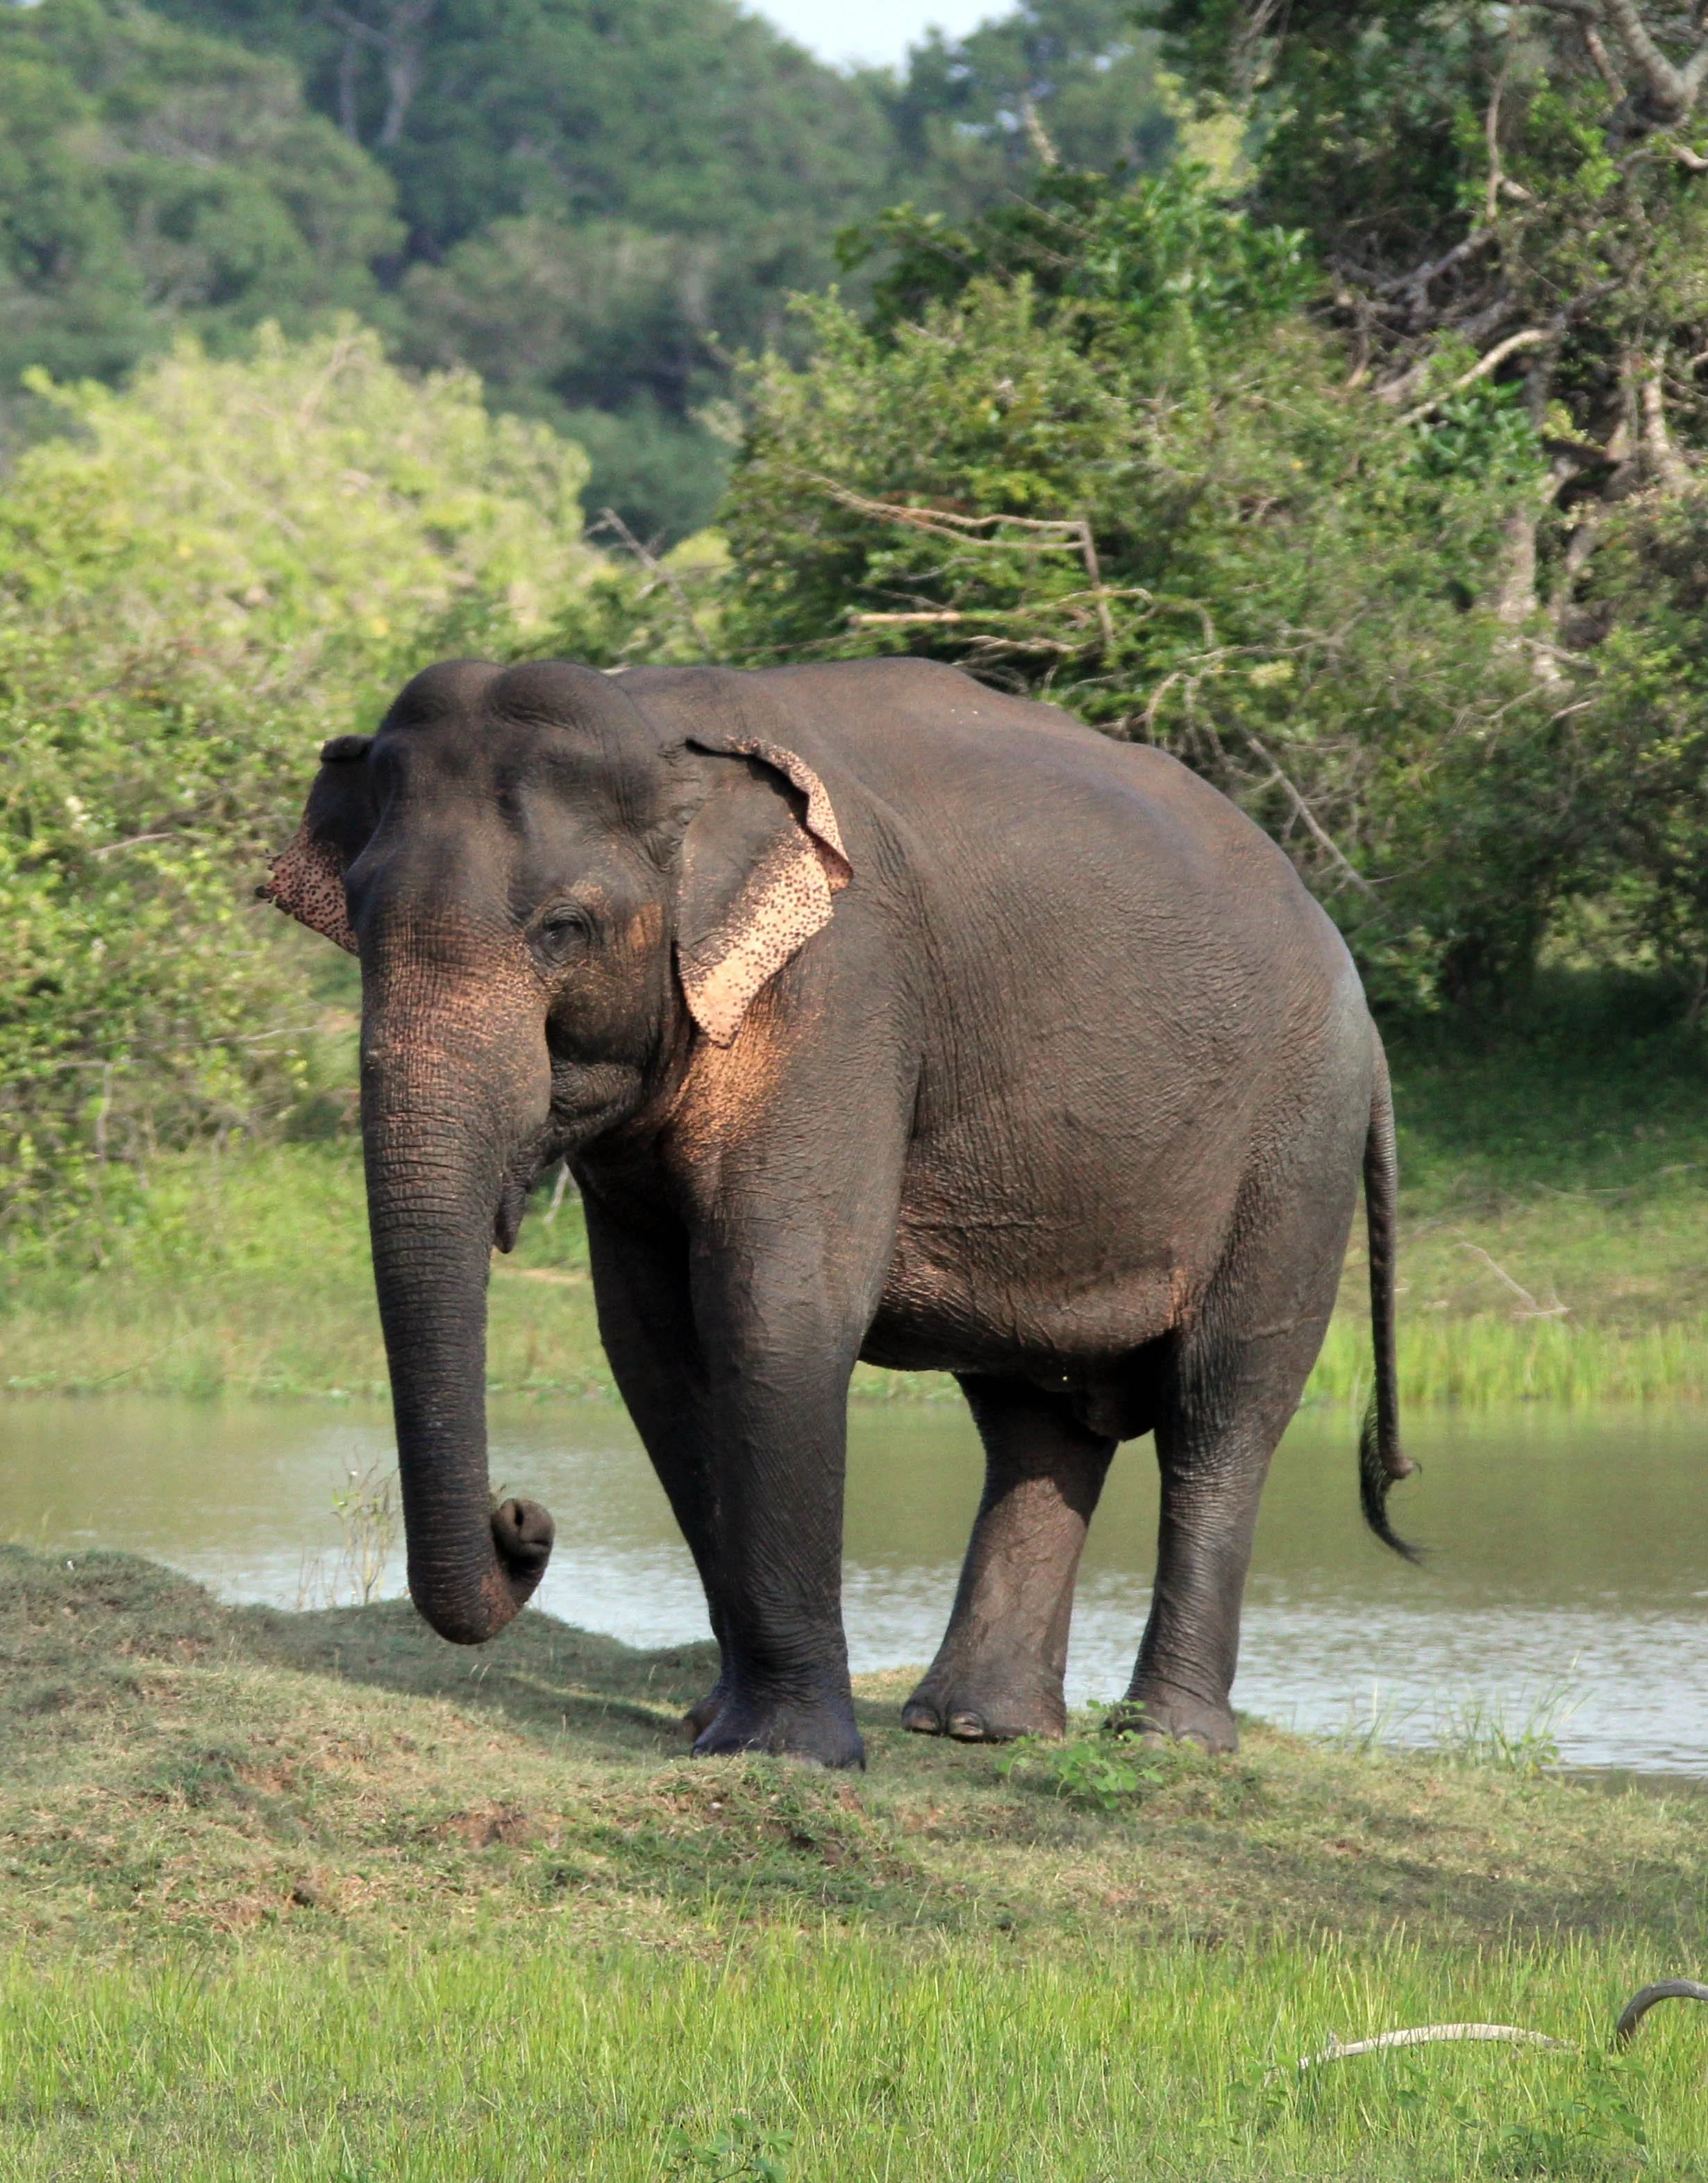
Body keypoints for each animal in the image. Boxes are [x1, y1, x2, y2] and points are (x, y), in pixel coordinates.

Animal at [262, 653, 1414, 1769]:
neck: (660, 723)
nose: (523, 1520)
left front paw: (785, 1755)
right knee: (1036, 1417)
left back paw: (1163, 1740)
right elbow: (651, 1343)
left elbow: (775, 1304)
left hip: (1295, 1139)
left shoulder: (841, 990)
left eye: (564, 929)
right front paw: (709, 1727)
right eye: (359, 921)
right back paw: (975, 1728)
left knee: (1224, 1404)